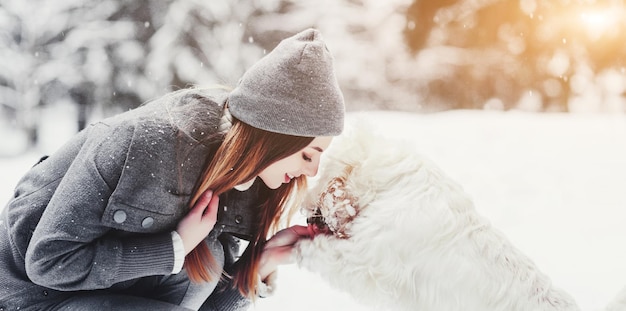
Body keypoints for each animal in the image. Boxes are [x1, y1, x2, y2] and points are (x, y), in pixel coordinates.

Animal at [294, 120, 576, 311]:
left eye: (321, 174)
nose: (304, 213)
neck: (388, 186)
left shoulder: (372, 261)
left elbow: (324, 252)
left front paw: (298, 247)